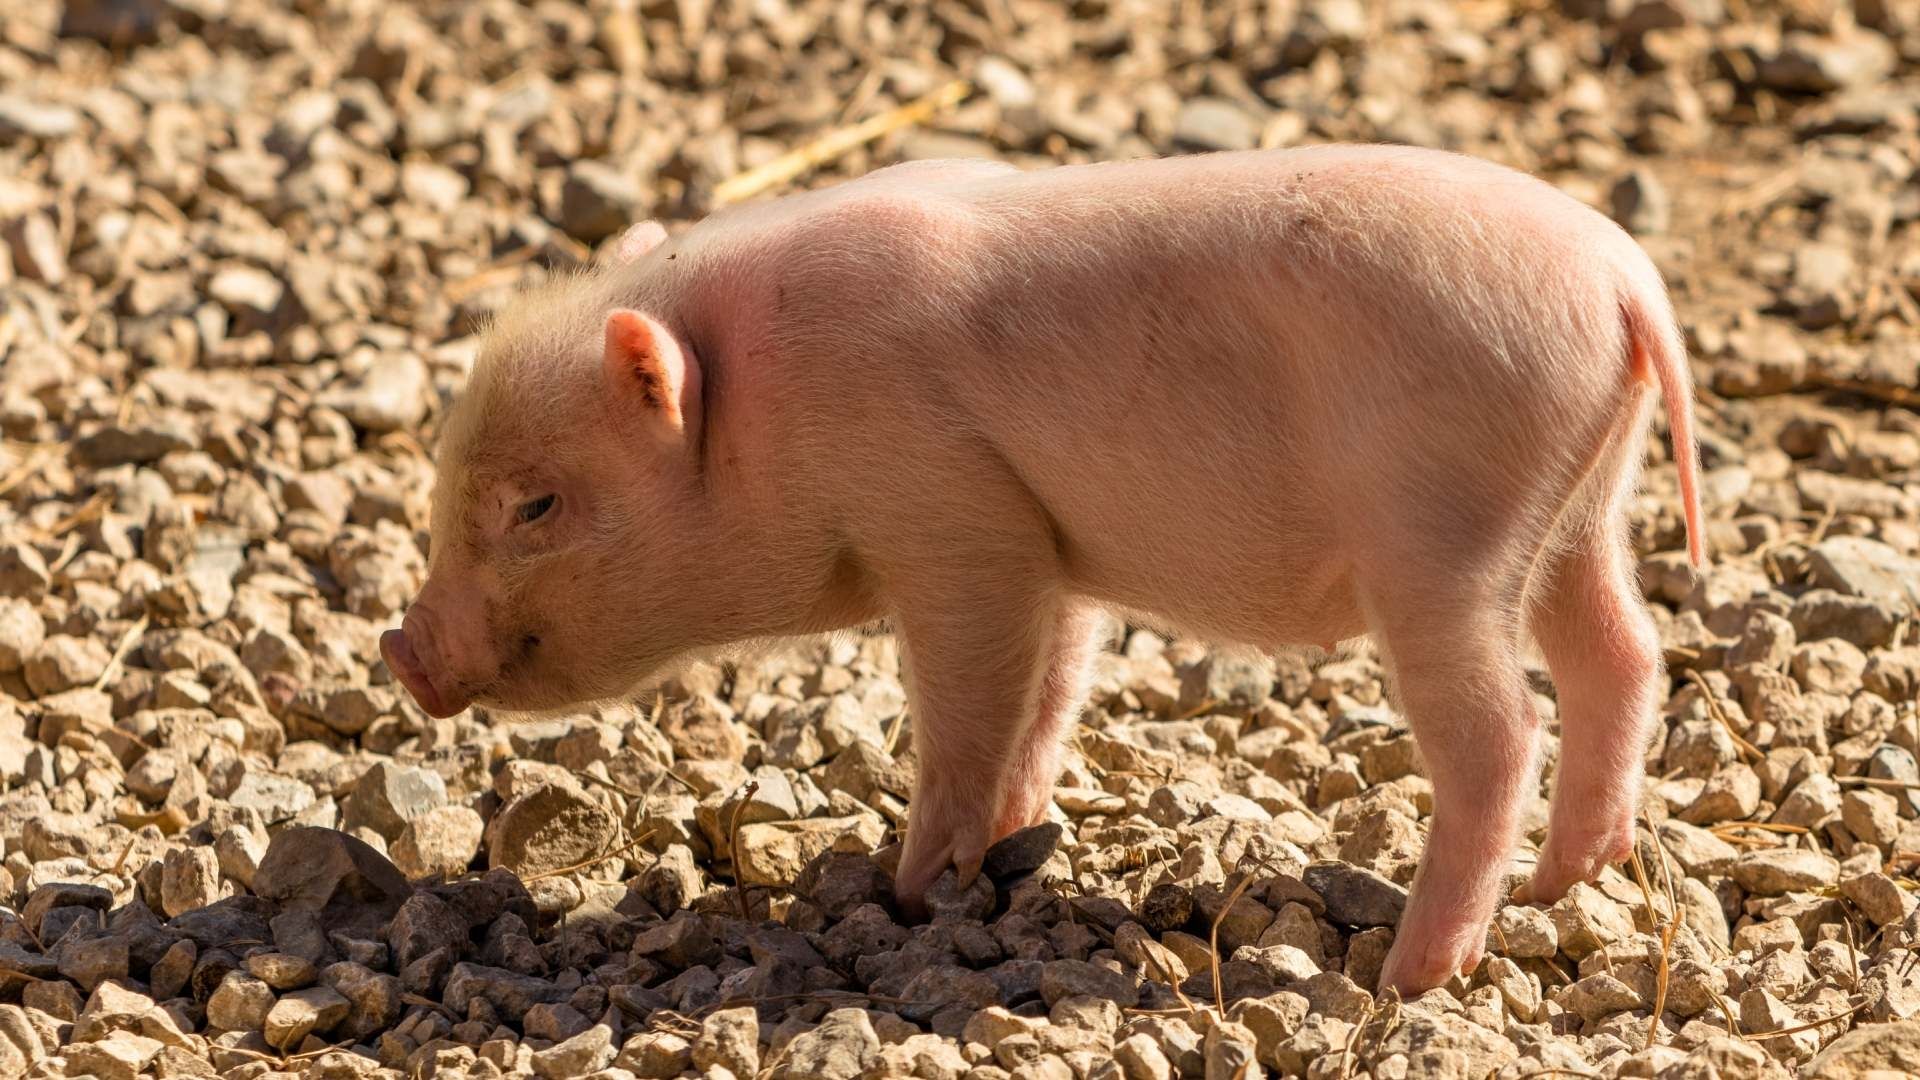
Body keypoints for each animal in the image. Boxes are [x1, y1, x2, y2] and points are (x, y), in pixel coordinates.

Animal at [380, 144, 1704, 994]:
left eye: (537, 505)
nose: (402, 648)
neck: (764, 405)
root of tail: (1625, 282)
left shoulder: (953, 524)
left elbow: (969, 708)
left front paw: (907, 892)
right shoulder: (1042, 543)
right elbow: (1053, 686)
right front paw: (1011, 844)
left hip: (1443, 536)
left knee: (1501, 731)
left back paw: (1415, 974)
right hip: (1579, 506)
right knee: (1624, 654)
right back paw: (1565, 885)